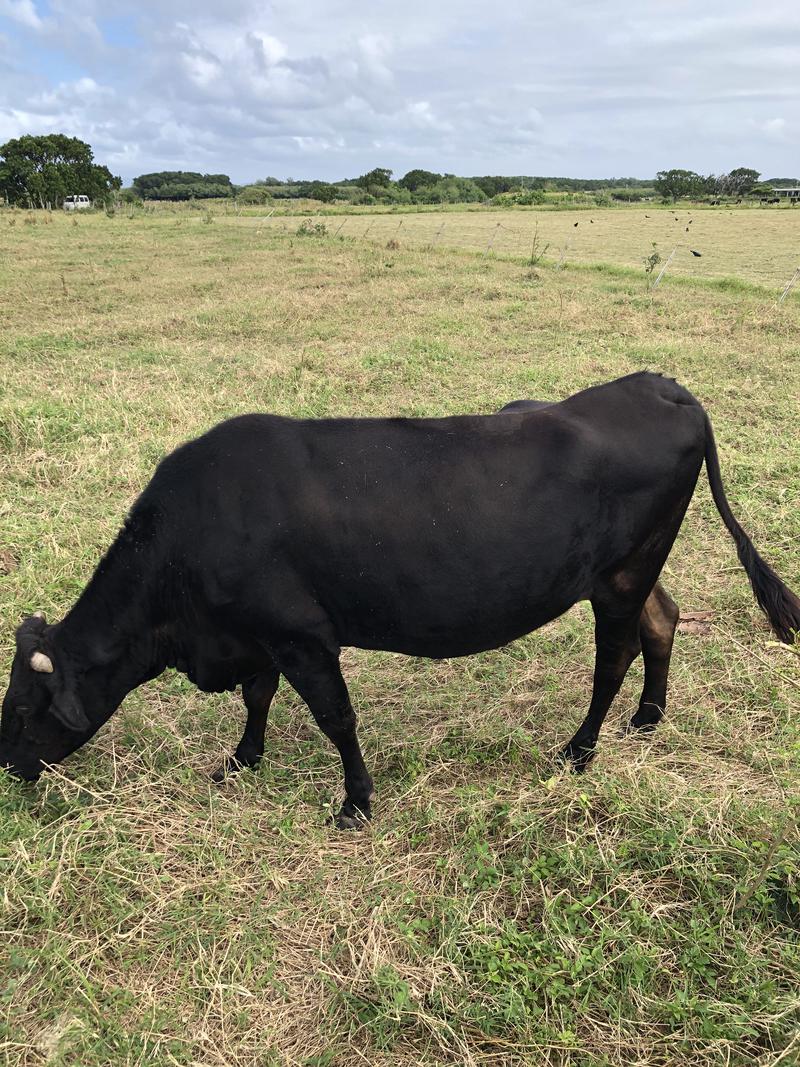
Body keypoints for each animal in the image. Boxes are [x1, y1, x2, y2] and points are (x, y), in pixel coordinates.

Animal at [1, 371, 800, 827]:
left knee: (618, 651)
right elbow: (257, 696)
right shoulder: (256, 635)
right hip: (631, 567)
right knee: (663, 621)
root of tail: (661, 385)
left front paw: (355, 803)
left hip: (624, 574)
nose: (9, 770)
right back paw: (648, 718)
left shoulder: (302, 634)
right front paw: (243, 758)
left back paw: (579, 749)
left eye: (22, 710)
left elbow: (335, 717)